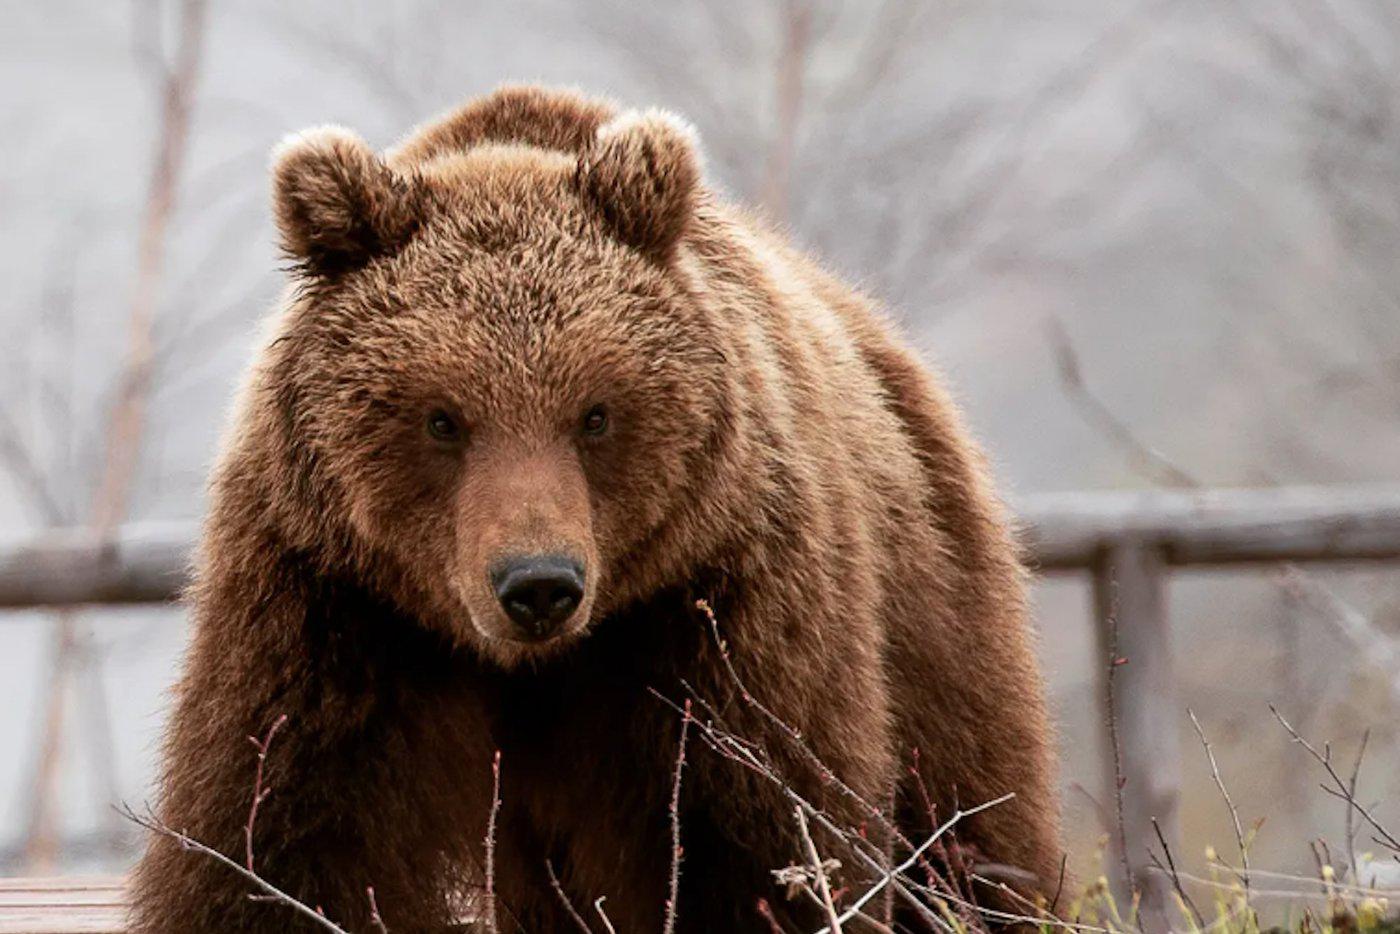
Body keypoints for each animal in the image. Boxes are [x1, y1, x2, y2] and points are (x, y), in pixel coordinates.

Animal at [127, 85, 1062, 933]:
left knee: (965, 828)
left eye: (595, 412)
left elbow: (757, 842)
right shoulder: (334, 610)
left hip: (931, 603)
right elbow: (282, 841)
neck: (526, 665)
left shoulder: (716, 608)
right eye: (443, 418)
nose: (538, 584)